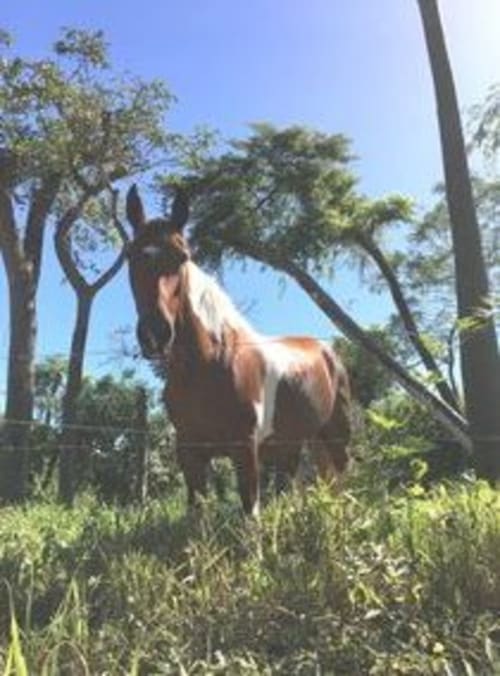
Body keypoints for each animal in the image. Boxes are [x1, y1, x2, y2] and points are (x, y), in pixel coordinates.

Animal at [125, 184, 351, 516]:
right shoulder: (190, 452)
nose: (156, 334)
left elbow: (250, 514)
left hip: (336, 437)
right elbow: (196, 515)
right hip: (295, 445)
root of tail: (327, 351)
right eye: (129, 256)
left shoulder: (245, 450)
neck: (209, 365)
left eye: (182, 256)